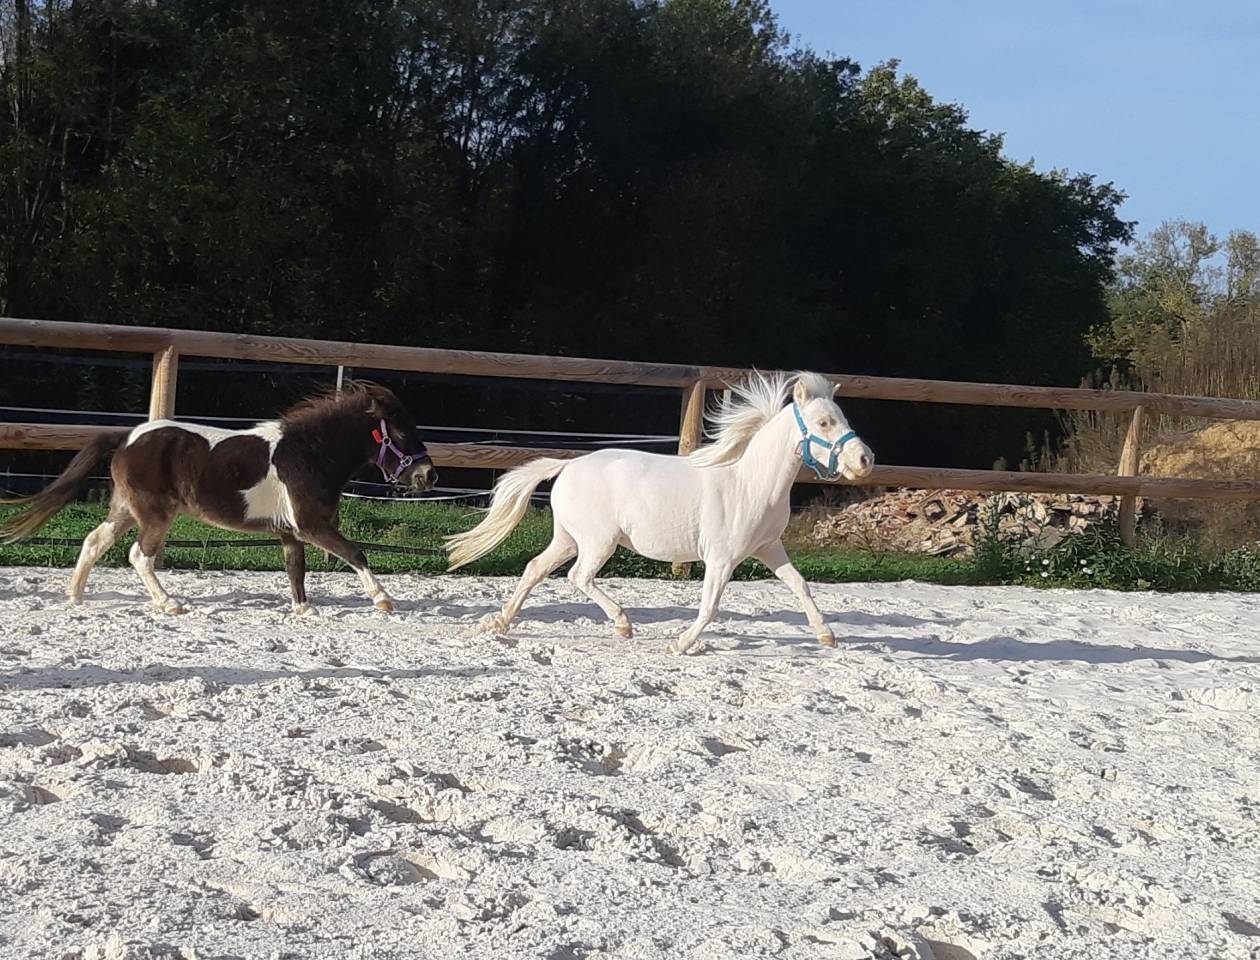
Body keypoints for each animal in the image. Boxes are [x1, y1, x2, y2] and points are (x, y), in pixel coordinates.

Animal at [1, 381, 436, 615]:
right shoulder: (312, 524)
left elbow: (295, 568)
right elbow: (355, 553)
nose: (428, 475)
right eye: (401, 433)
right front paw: (383, 599)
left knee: (95, 541)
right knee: (139, 555)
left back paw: (75, 596)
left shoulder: (290, 531)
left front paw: (304, 608)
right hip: (155, 514)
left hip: (125, 509)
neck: (308, 453)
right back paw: (169, 603)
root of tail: (125, 439)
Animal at [446, 371, 873, 654]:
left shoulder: (769, 548)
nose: (865, 460)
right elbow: (710, 605)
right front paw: (681, 644)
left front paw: (827, 636)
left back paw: (500, 621)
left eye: (843, 418)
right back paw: (623, 624)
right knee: (578, 576)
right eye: (823, 422)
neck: (750, 483)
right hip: (597, 542)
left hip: (568, 538)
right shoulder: (722, 557)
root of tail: (568, 465)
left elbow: (800, 586)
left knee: (536, 568)